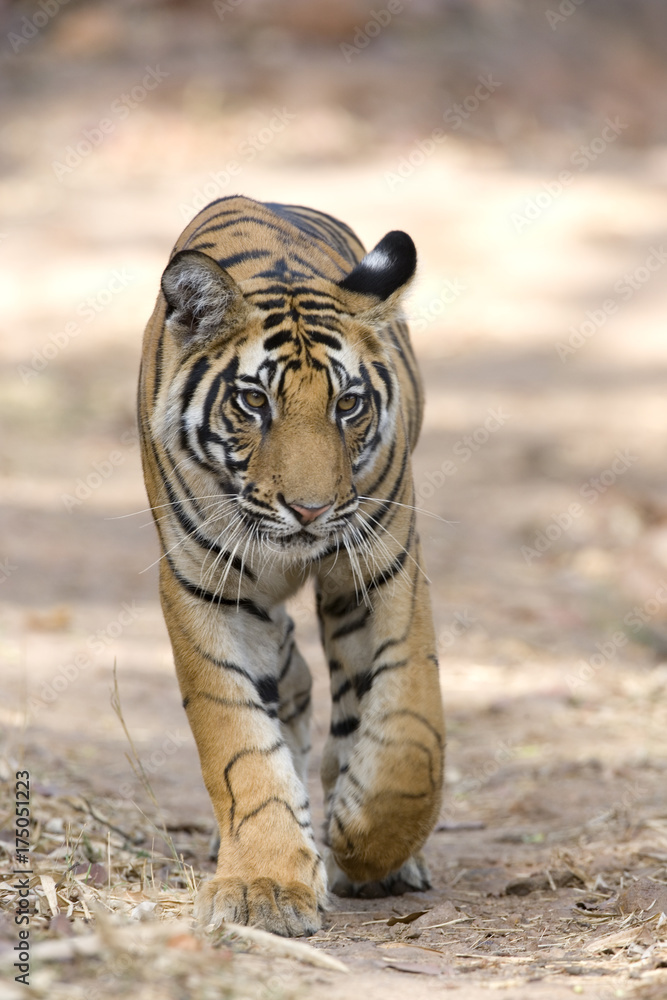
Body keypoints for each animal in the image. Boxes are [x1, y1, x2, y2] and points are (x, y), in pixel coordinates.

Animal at [138, 195, 445, 937]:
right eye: (255, 402)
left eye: (347, 404)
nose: (309, 510)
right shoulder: (205, 587)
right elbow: (238, 743)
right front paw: (266, 886)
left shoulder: (382, 567)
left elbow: (407, 734)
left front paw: (364, 846)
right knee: (294, 682)